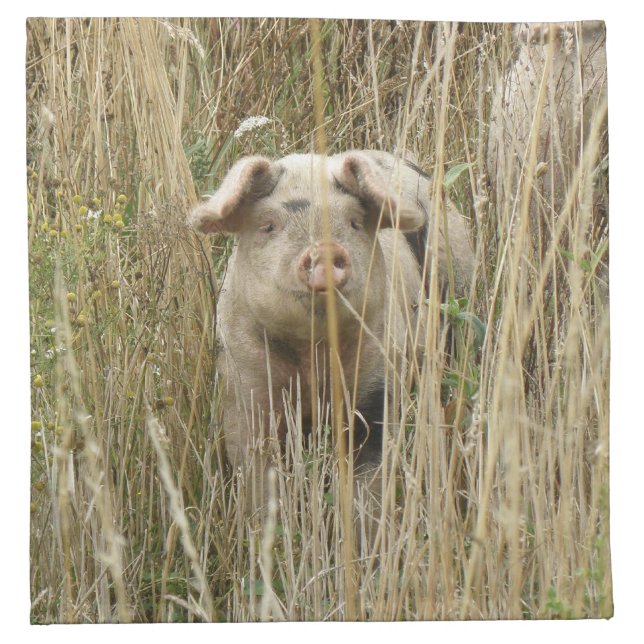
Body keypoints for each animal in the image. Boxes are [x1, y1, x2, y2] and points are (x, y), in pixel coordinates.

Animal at [190, 150, 474, 513]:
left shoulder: (378, 383)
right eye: (268, 226)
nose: (324, 249)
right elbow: (258, 472)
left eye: (354, 222)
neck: (312, 355)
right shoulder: (243, 386)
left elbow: (370, 480)